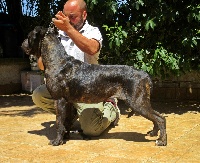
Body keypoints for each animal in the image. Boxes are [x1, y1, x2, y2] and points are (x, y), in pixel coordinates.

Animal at [21, 25, 167, 146]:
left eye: (29, 36)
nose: (22, 44)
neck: (57, 61)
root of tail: (144, 74)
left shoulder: (59, 100)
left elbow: (59, 122)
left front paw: (57, 141)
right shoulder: (68, 102)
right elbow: (66, 121)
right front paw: (65, 136)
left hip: (138, 102)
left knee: (161, 118)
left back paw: (161, 141)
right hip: (141, 102)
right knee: (157, 116)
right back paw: (154, 133)